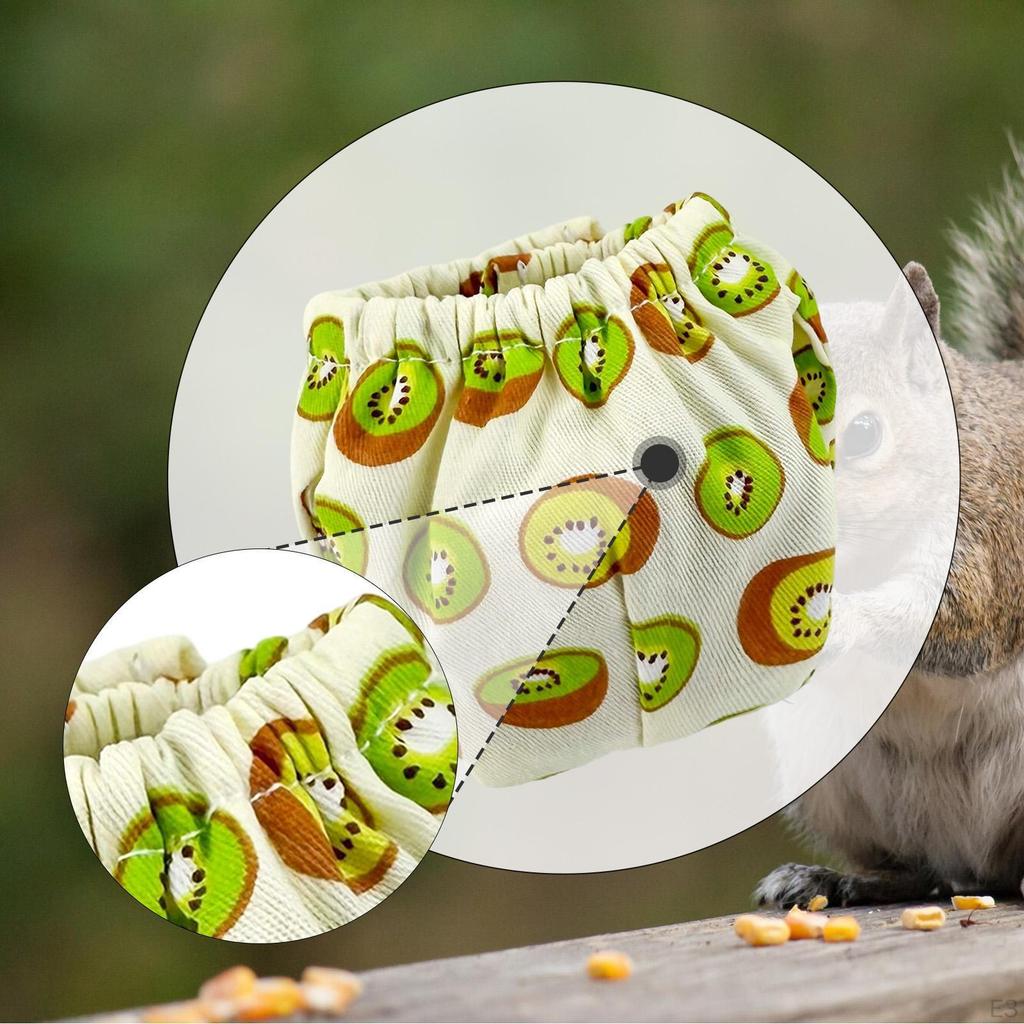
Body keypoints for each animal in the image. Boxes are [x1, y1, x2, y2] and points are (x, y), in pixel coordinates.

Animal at [757, 142, 1024, 907]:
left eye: (865, 434)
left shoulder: (991, 544)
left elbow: (952, 619)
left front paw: (840, 619)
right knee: (919, 871)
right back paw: (832, 879)